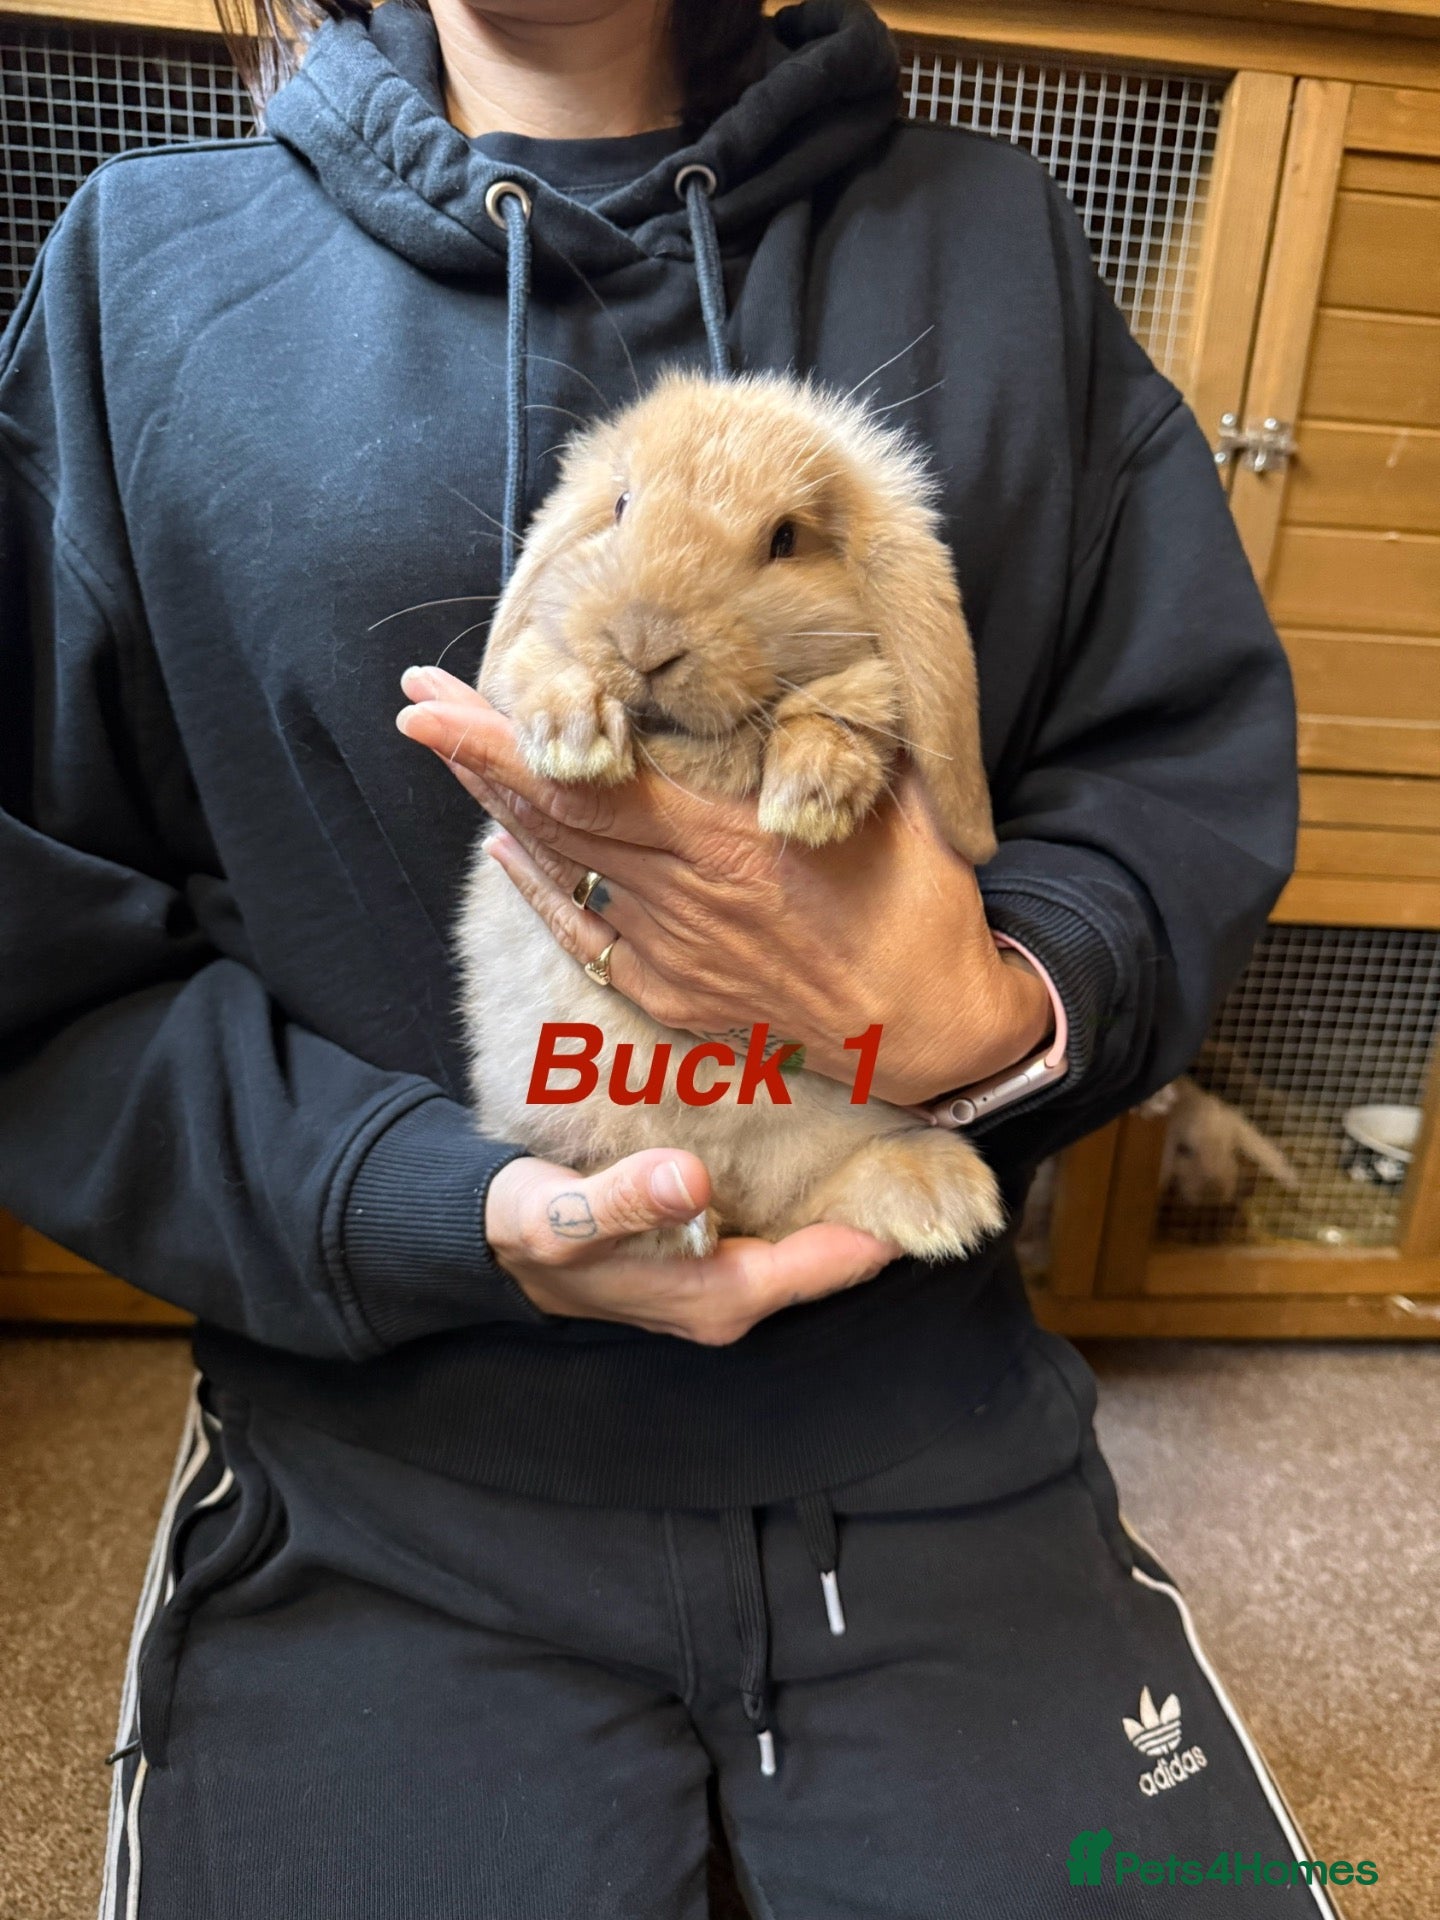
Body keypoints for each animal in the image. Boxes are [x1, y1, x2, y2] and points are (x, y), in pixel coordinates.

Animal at [456, 369, 1006, 1262]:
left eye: (785, 539)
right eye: (620, 506)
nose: (645, 642)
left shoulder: (864, 689)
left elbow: (853, 705)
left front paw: (810, 797)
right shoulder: (539, 656)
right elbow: (541, 667)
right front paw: (577, 741)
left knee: (807, 1202)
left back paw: (938, 1199)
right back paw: (681, 1215)